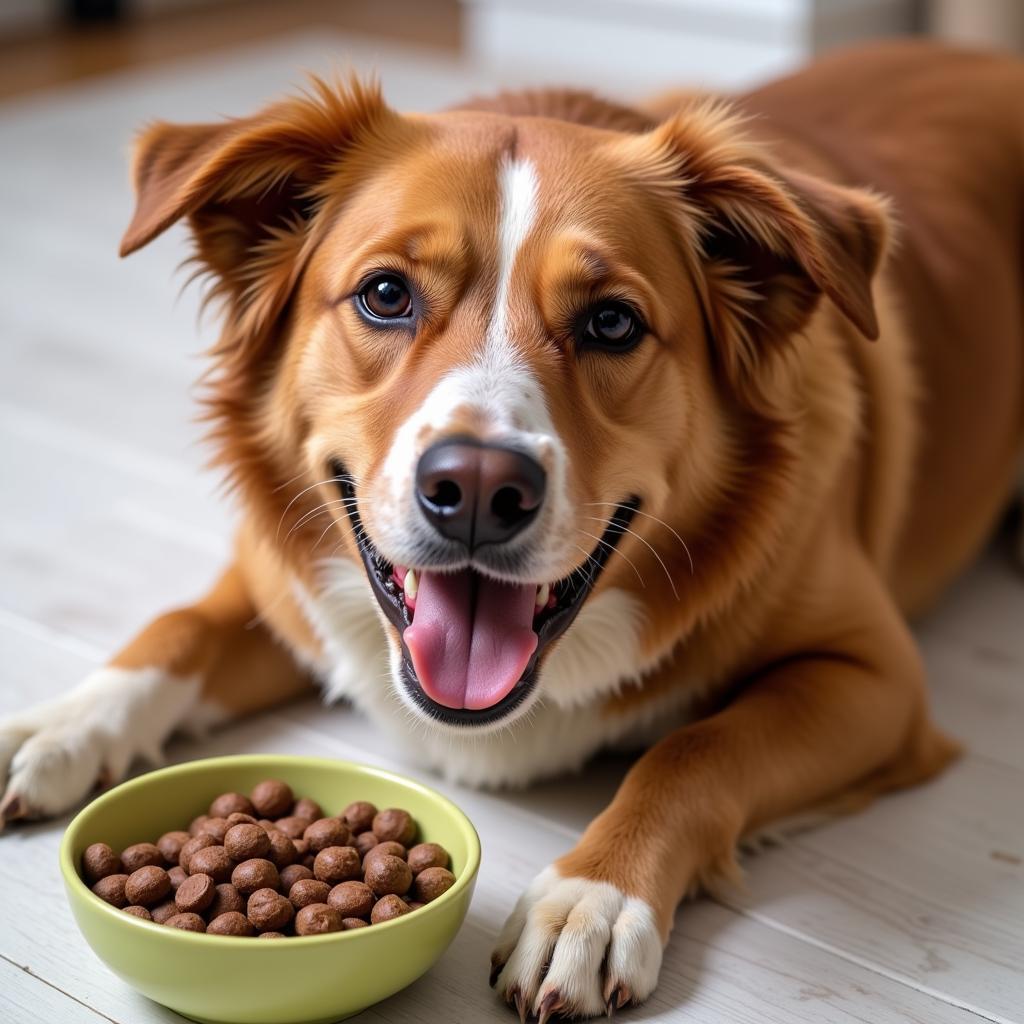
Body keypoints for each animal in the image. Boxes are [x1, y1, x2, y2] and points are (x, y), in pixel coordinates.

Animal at [2, 37, 1024, 1015]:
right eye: (385, 295)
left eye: (612, 323)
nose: (478, 486)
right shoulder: (279, 577)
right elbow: (177, 628)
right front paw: (62, 727)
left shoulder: (876, 677)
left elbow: (693, 750)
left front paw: (590, 898)